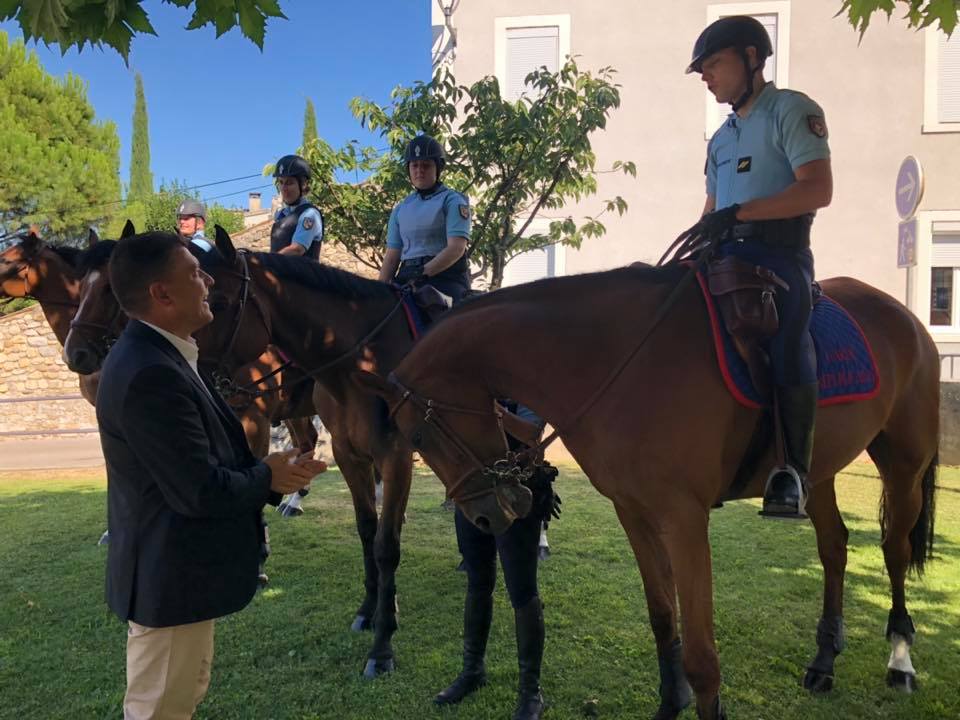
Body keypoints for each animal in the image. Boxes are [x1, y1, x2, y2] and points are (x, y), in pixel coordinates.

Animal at [354, 262, 936, 720]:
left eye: (417, 436)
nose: (487, 518)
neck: (614, 359)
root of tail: (905, 317)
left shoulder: (685, 520)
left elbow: (703, 658)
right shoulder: (632, 512)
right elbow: (662, 619)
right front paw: (668, 703)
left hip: (904, 467)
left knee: (894, 550)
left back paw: (901, 659)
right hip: (819, 472)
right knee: (834, 546)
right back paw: (824, 660)